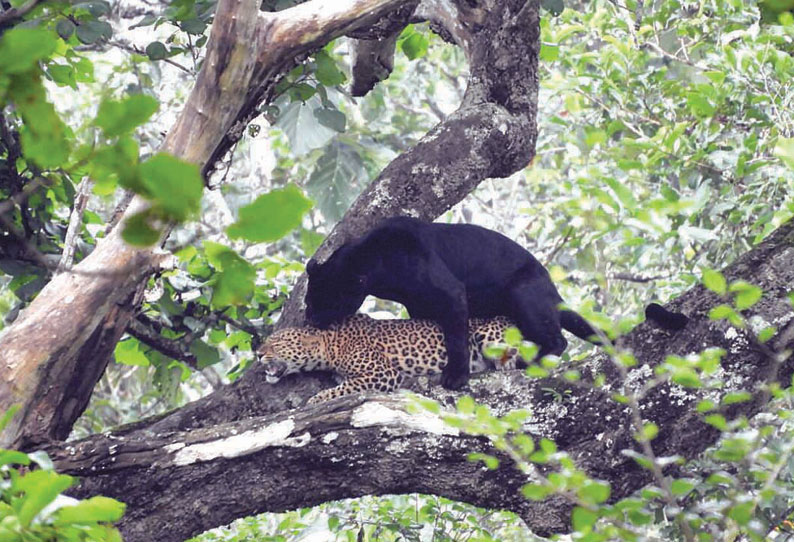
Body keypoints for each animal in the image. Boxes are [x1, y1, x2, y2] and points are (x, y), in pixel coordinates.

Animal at [256, 314, 524, 404]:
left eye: (276, 344)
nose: (258, 354)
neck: (331, 344)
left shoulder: (383, 373)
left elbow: (344, 388)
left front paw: (316, 399)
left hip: (488, 334)